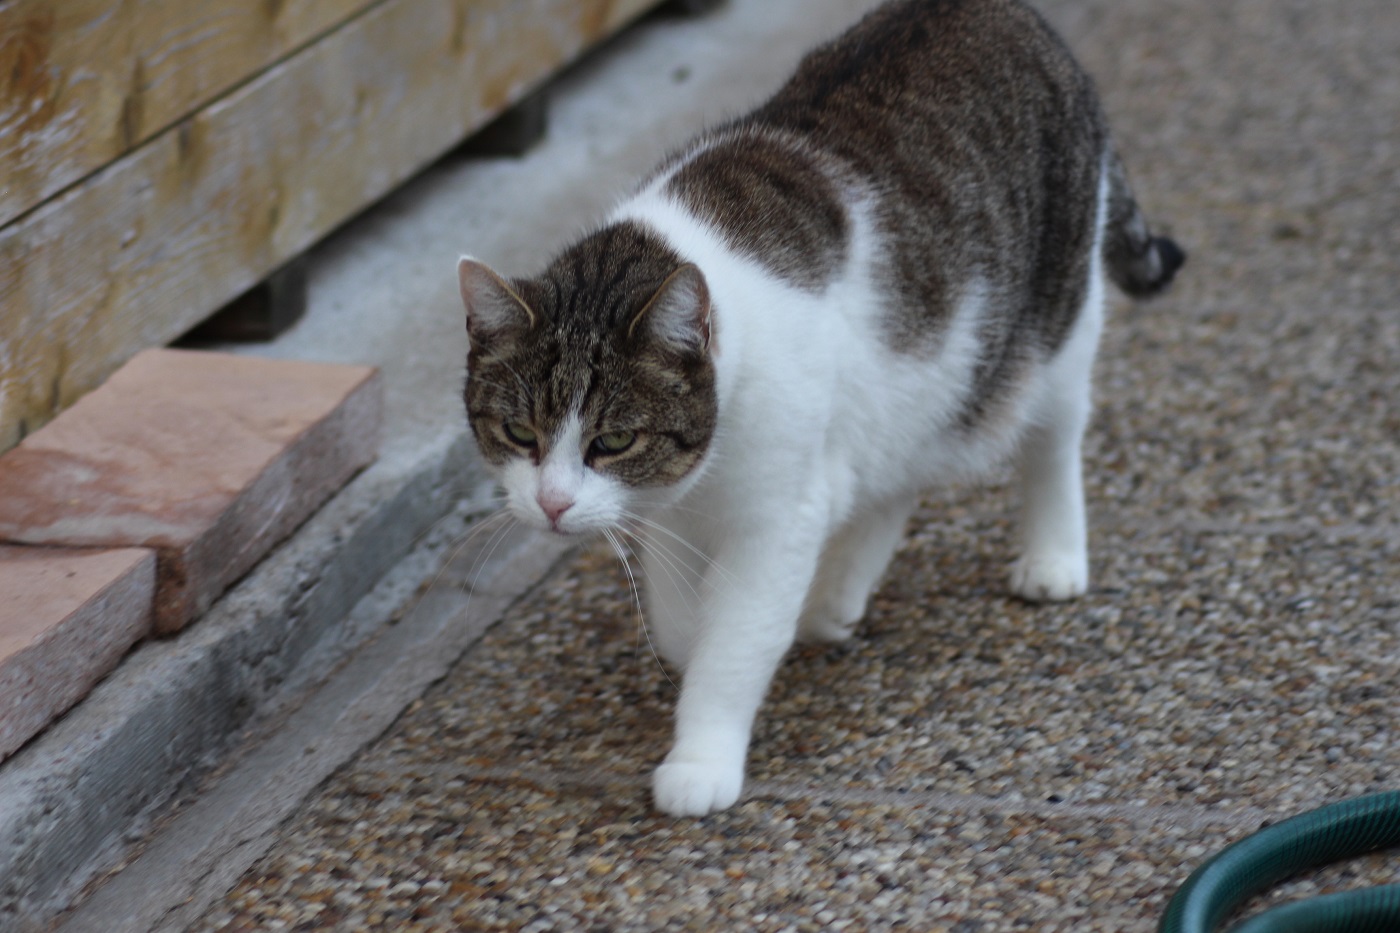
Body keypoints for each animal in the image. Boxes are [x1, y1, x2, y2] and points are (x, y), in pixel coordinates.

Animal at [456, 0, 1181, 812]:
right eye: (518, 431)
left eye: (611, 441)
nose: (550, 504)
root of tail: (1003, 10)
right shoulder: (672, 510)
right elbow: (679, 619)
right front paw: (692, 635)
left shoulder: (776, 519)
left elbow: (735, 640)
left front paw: (701, 759)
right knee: (897, 471)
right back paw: (836, 595)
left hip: (1056, 324)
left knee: (1052, 438)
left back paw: (1051, 555)